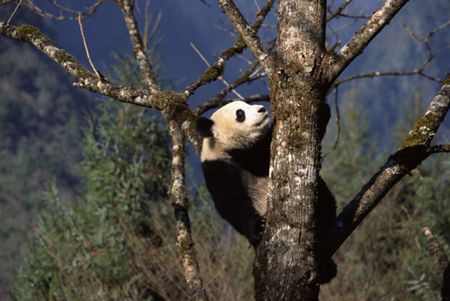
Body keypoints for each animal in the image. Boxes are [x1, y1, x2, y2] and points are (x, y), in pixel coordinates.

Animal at [197, 100, 338, 282]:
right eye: (240, 114)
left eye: (247, 104)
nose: (261, 109)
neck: (234, 151)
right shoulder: (218, 169)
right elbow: (231, 204)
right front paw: (258, 227)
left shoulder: (260, 152)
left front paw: (322, 110)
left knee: (325, 201)